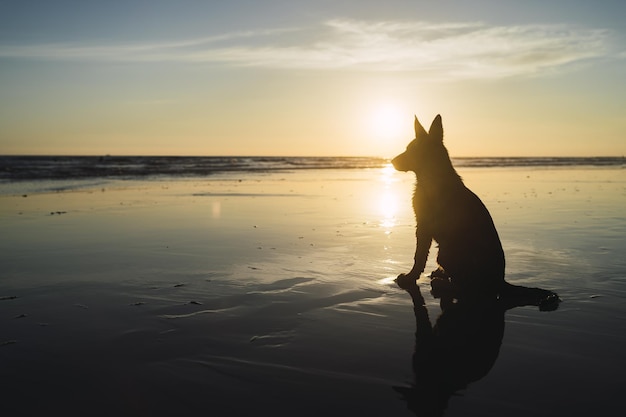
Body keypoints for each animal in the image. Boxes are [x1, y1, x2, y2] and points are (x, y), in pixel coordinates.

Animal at [392, 114, 504, 296]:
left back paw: (441, 283)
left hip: (446, 252)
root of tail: (500, 282)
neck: (432, 177)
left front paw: (410, 277)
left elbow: (419, 256)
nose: (391, 161)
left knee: (464, 287)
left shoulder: (423, 226)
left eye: (411, 150)